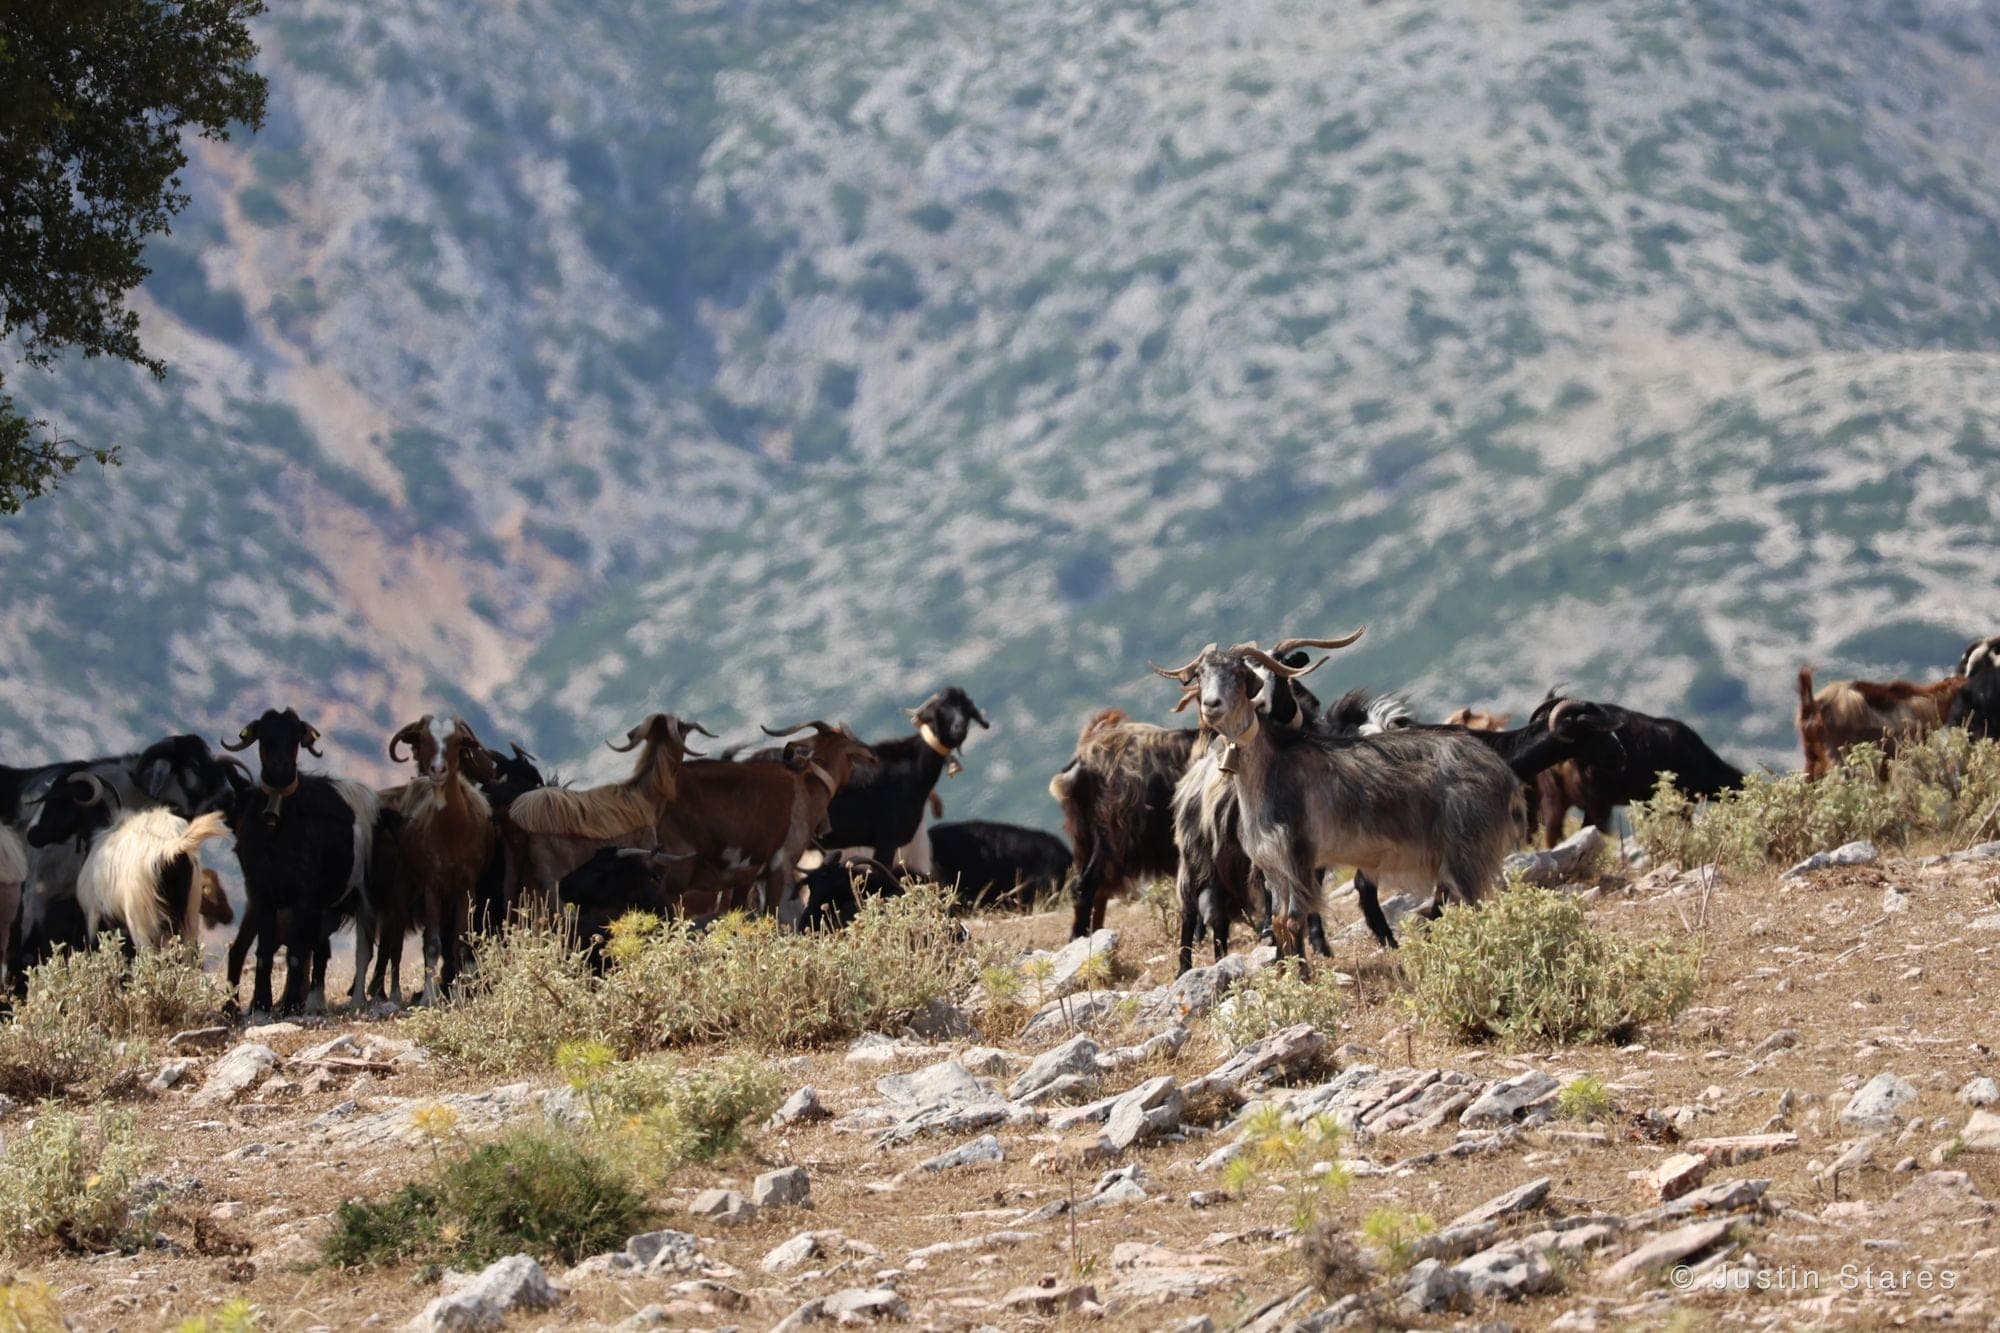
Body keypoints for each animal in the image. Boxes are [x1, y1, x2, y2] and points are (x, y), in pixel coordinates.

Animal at [220, 709, 379, 1015]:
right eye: (264, 736)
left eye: (296, 737)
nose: (282, 770)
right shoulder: (261, 893)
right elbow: (265, 951)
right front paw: (261, 1004)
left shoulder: (304, 895)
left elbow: (295, 952)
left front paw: (291, 1004)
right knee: (317, 950)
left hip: (364, 898)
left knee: (362, 951)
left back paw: (356, 1000)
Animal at [1156, 631, 1521, 962]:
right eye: (1200, 674)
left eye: (1240, 674)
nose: (1211, 706)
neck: (1271, 768)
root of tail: (1499, 770)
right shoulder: (1274, 865)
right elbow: (1282, 920)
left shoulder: (1298, 857)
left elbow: (1294, 919)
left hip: (1466, 848)